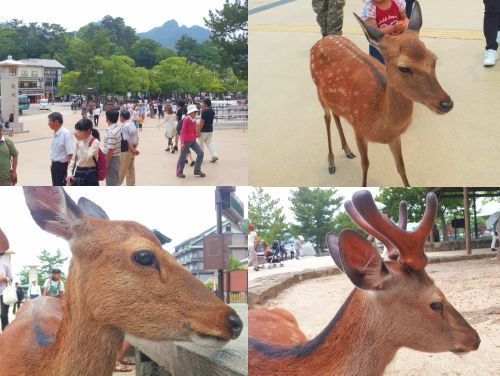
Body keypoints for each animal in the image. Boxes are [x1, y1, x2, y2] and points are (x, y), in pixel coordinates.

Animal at [310, 1, 452, 187]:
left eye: (434, 59)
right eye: (403, 68)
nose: (446, 103)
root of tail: (322, 40)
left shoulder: (395, 137)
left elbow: (401, 166)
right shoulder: (358, 128)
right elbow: (365, 164)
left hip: (333, 97)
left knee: (336, 114)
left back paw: (347, 150)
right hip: (318, 91)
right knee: (326, 118)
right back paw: (331, 162)